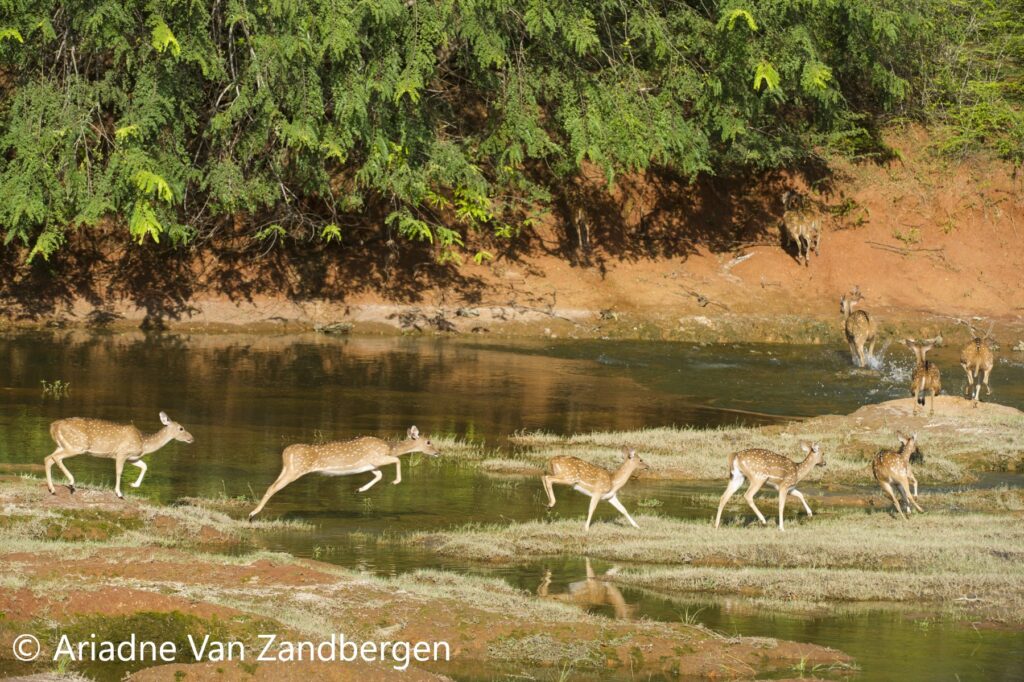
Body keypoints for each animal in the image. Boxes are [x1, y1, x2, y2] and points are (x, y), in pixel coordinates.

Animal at [43, 411, 193, 497]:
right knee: (55, 458)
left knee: (48, 458)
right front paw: (119, 493)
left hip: (62, 445)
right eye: (181, 428)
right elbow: (119, 471)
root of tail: (53, 426)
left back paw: (52, 489)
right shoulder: (122, 453)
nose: (191, 438)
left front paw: (134, 485)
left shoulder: (132, 458)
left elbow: (144, 466)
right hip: (77, 446)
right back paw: (71, 482)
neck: (143, 444)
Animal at [249, 421, 442, 518]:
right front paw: (395, 481)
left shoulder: (371, 465)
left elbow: (379, 475)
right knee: (272, 488)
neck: (390, 447)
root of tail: (286, 452)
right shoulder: (377, 457)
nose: (438, 452)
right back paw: (252, 514)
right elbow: (397, 460)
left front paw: (359, 490)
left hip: (288, 468)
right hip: (296, 470)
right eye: (428, 441)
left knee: (271, 485)